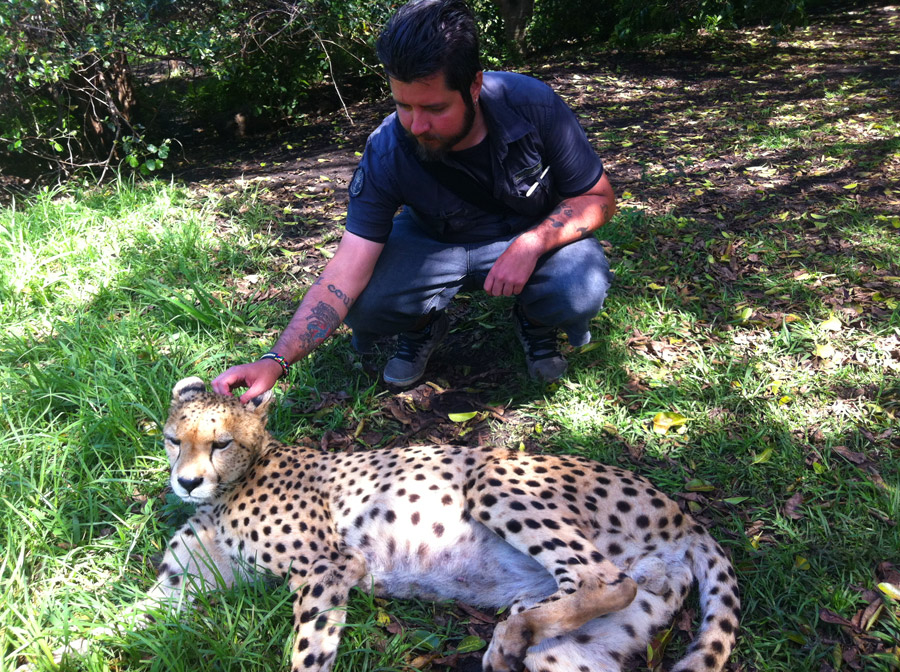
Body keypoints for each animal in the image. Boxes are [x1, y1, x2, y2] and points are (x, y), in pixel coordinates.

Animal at [139, 378, 740, 672]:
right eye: (172, 440)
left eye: (220, 443)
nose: (186, 483)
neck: (233, 485)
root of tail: (682, 513)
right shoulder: (179, 582)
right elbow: (126, 620)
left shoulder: (331, 564)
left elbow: (310, 650)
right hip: (590, 640)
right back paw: (511, 643)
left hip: (493, 477)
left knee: (605, 578)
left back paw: (510, 635)